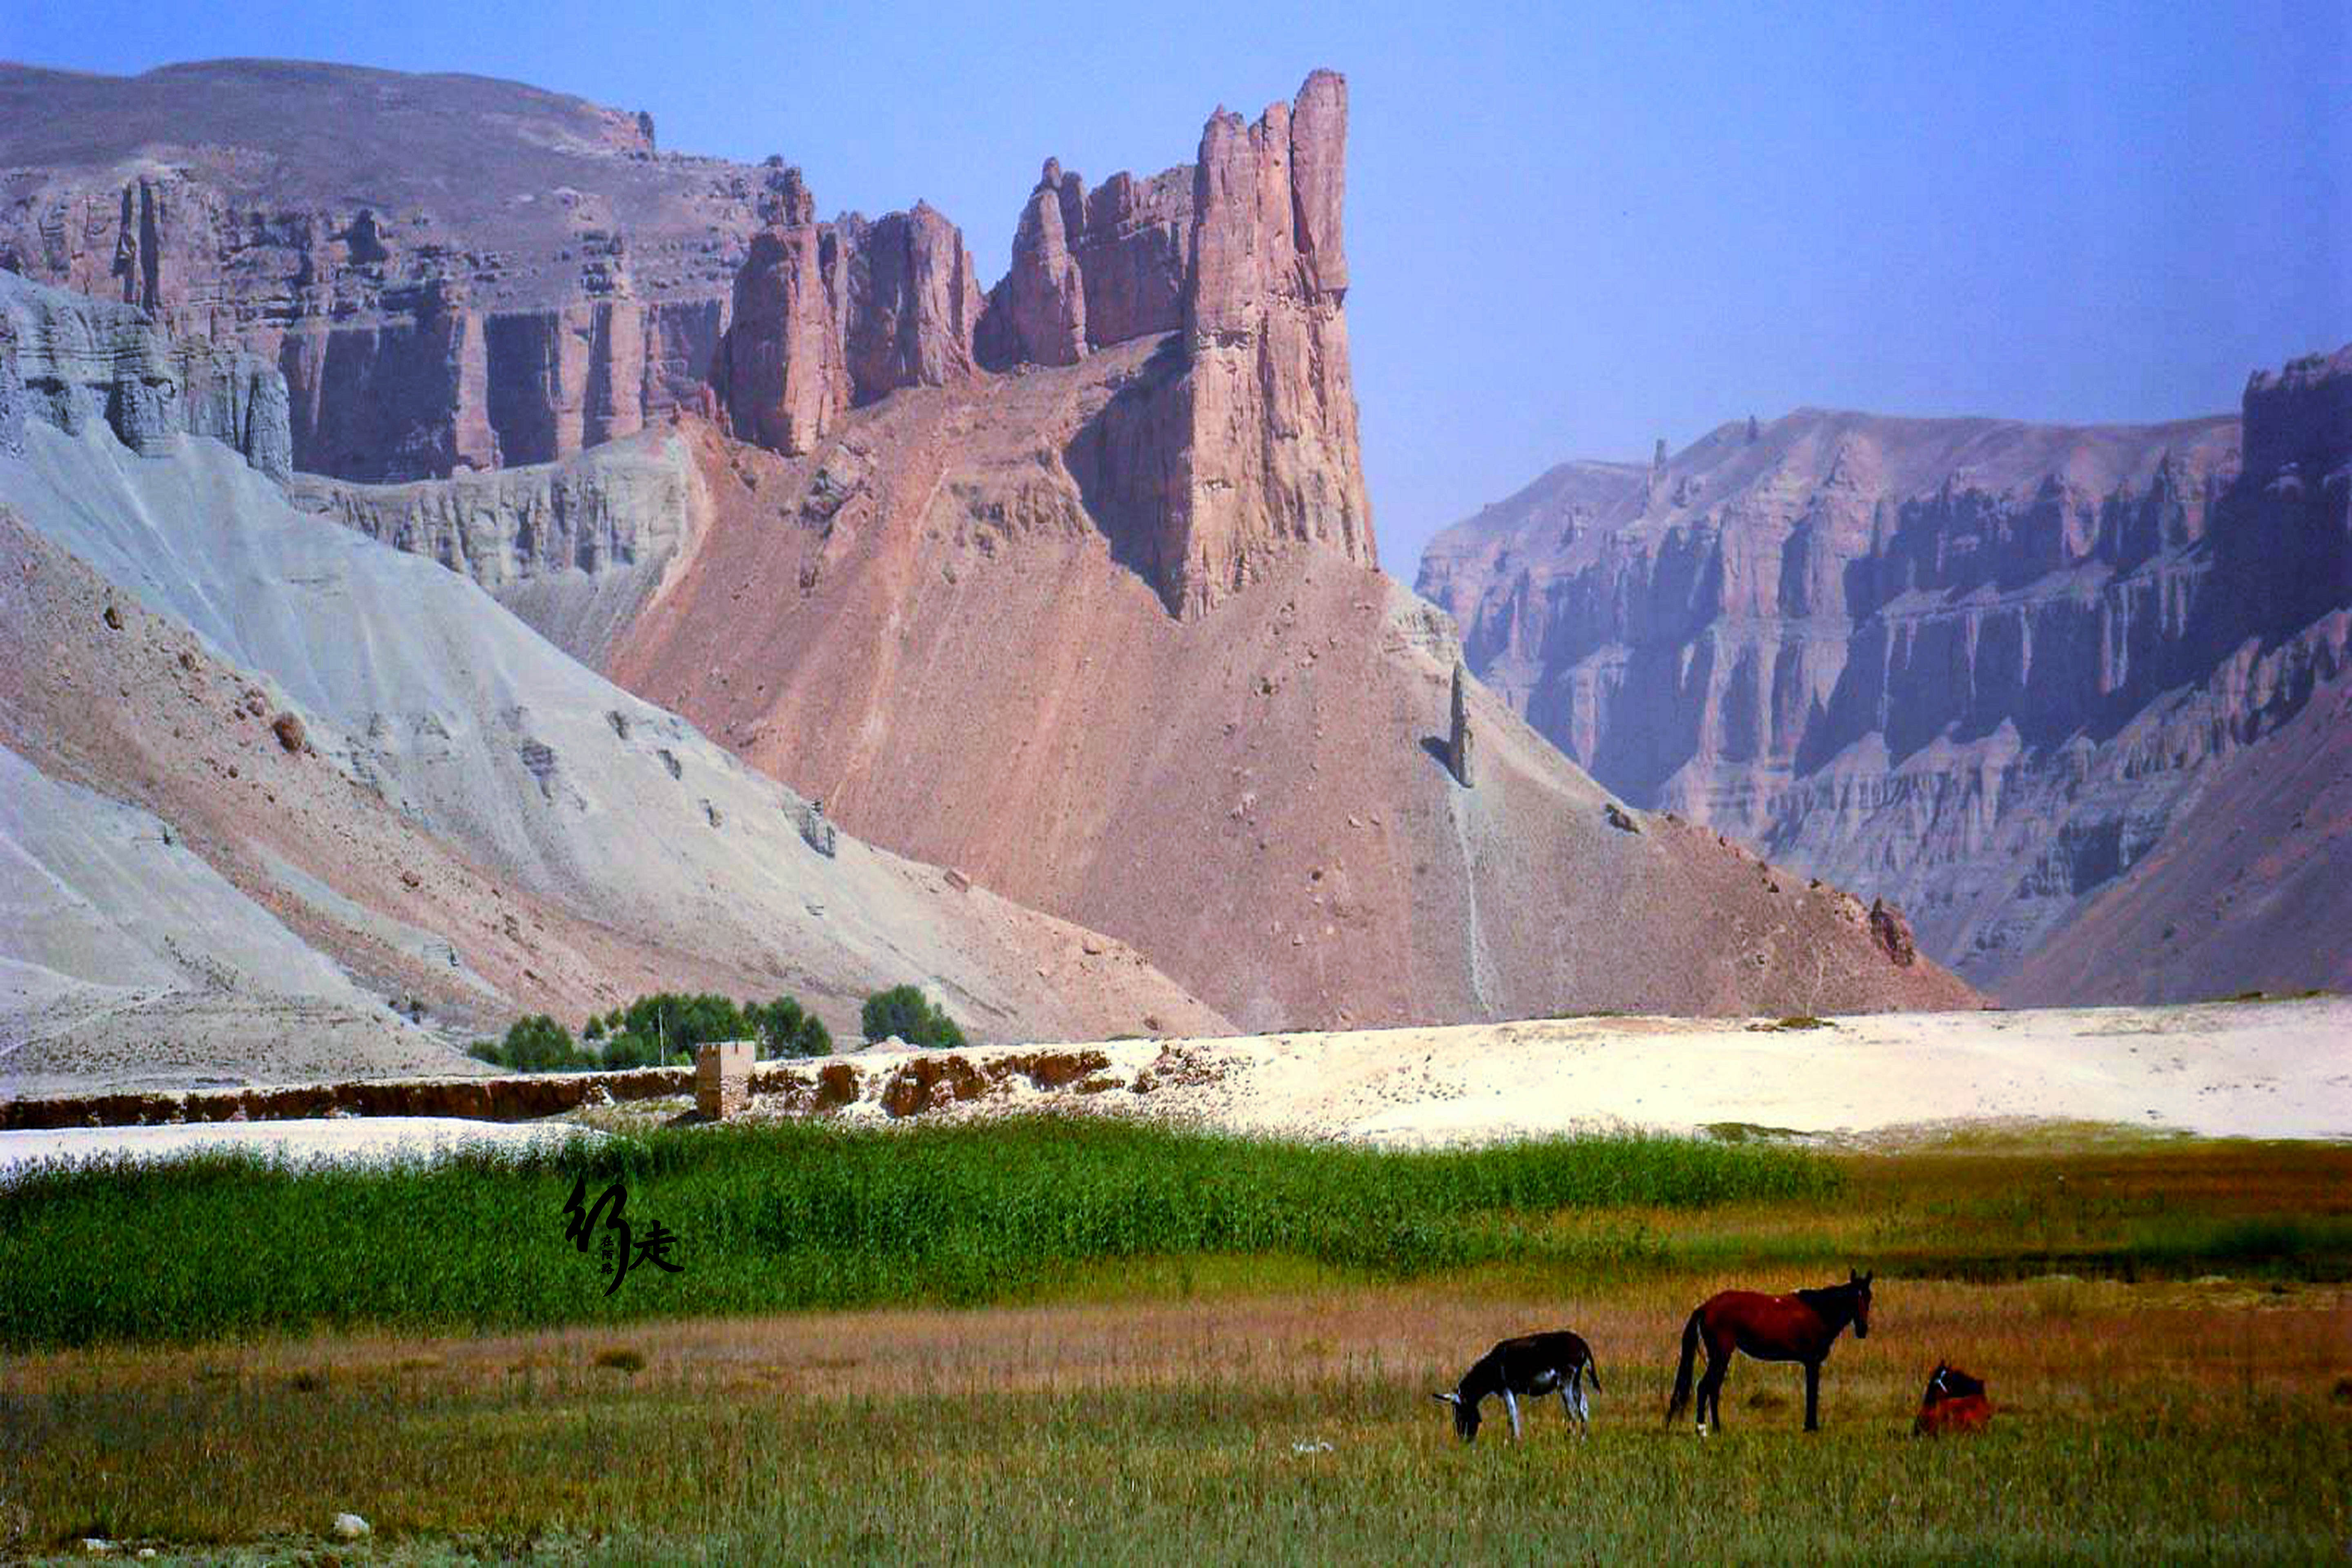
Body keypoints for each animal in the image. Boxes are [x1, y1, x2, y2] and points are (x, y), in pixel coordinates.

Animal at [1675, 1269, 1872, 1439]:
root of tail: (1705, 1307)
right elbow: (1812, 1392)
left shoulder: (1810, 1362)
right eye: (1854, 1298)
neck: (1819, 1310)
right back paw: (1703, 1430)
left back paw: (1716, 1428)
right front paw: (1811, 1427)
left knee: (1713, 1388)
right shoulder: (1813, 1361)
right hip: (1720, 1356)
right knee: (1704, 1387)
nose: (1863, 1330)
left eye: (1869, 1297)